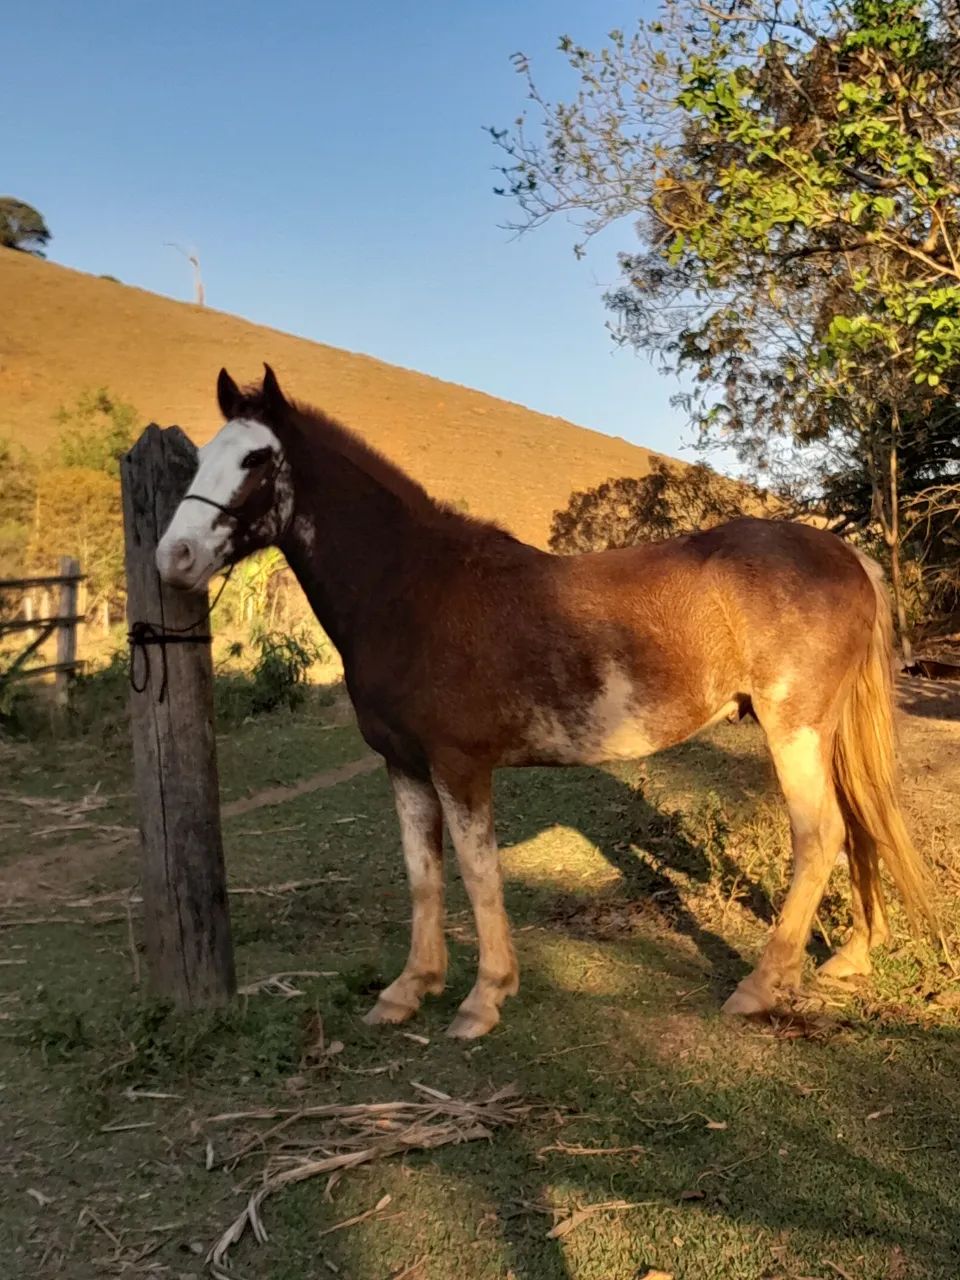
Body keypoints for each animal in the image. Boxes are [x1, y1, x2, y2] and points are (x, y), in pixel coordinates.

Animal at [155, 365, 936, 1038]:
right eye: (200, 458)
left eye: (258, 460)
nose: (174, 559)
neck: (413, 591)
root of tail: (843, 554)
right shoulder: (403, 766)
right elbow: (423, 876)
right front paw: (410, 989)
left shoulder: (460, 766)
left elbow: (479, 875)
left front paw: (484, 998)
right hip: (823, 733)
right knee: (857, 823)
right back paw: (849, 957)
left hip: (793, 730)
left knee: (819, 836)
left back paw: (760, 985)